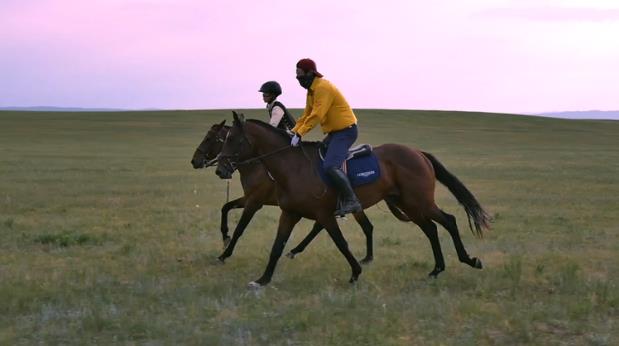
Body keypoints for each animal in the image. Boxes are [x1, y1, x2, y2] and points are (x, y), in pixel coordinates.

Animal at [191, 121, 390, 262]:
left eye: (209, 139)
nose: (195, 161)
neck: (257, 164)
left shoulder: (254, 202)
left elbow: (240, 228)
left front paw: (225, 253)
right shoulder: (249, 198)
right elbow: (225, 207)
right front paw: (225, 236)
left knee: (357, 226)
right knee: (349, 226)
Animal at [216, 112, 492, 288]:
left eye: (232, 139)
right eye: (222, 139)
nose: (220, 169)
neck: (293, 167)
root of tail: (417, 153)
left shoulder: (323, 215)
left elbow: (341, 243)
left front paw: (356, 273)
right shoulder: (290, 213)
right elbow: (277, 246)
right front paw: (263, 280)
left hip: (418, 203)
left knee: (448, 221)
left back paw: (468, 260)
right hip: (409, 205)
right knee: (432, 228)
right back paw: (437, 269)